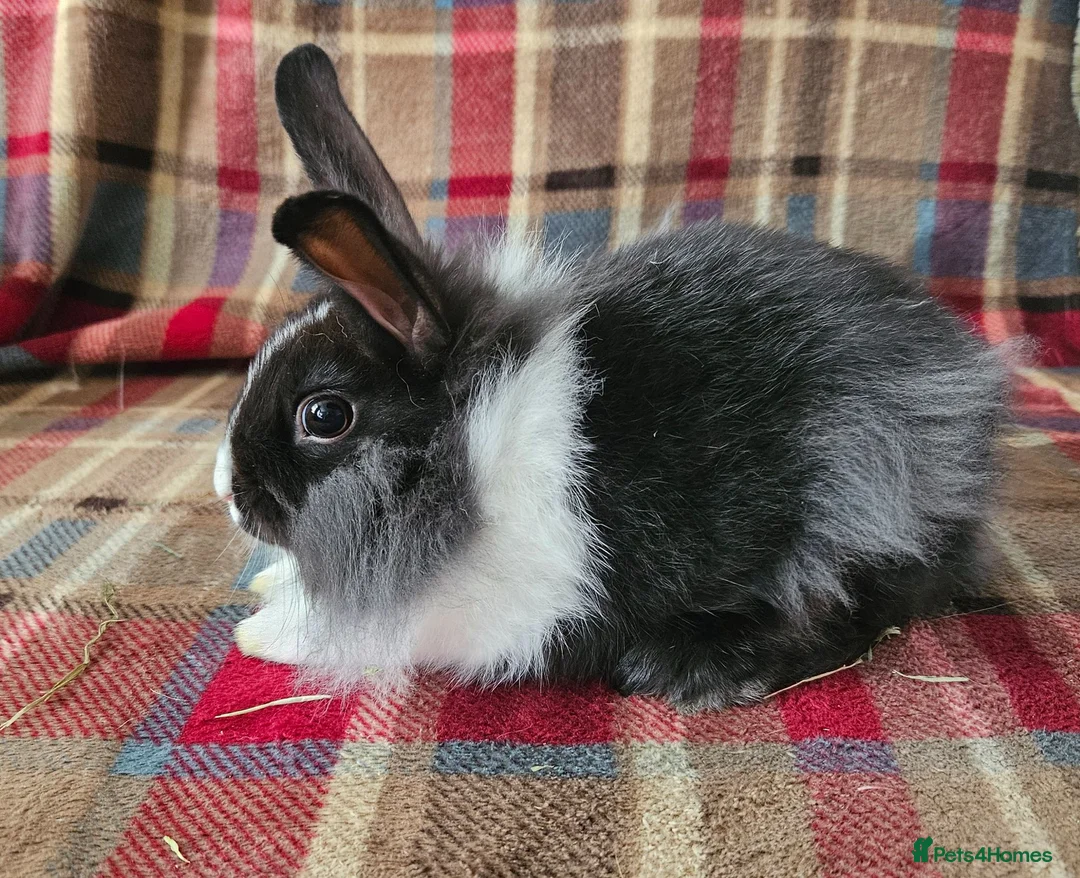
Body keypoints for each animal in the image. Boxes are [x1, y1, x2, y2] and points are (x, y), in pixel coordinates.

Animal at [214, 43, 1010, 711]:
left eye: (324, 416)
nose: (227, 493)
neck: (469, 441)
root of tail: (964, 382)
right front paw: (270, 586)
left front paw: (265, 632)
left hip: (852, 491)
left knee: (848, 608)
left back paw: (690, 669)